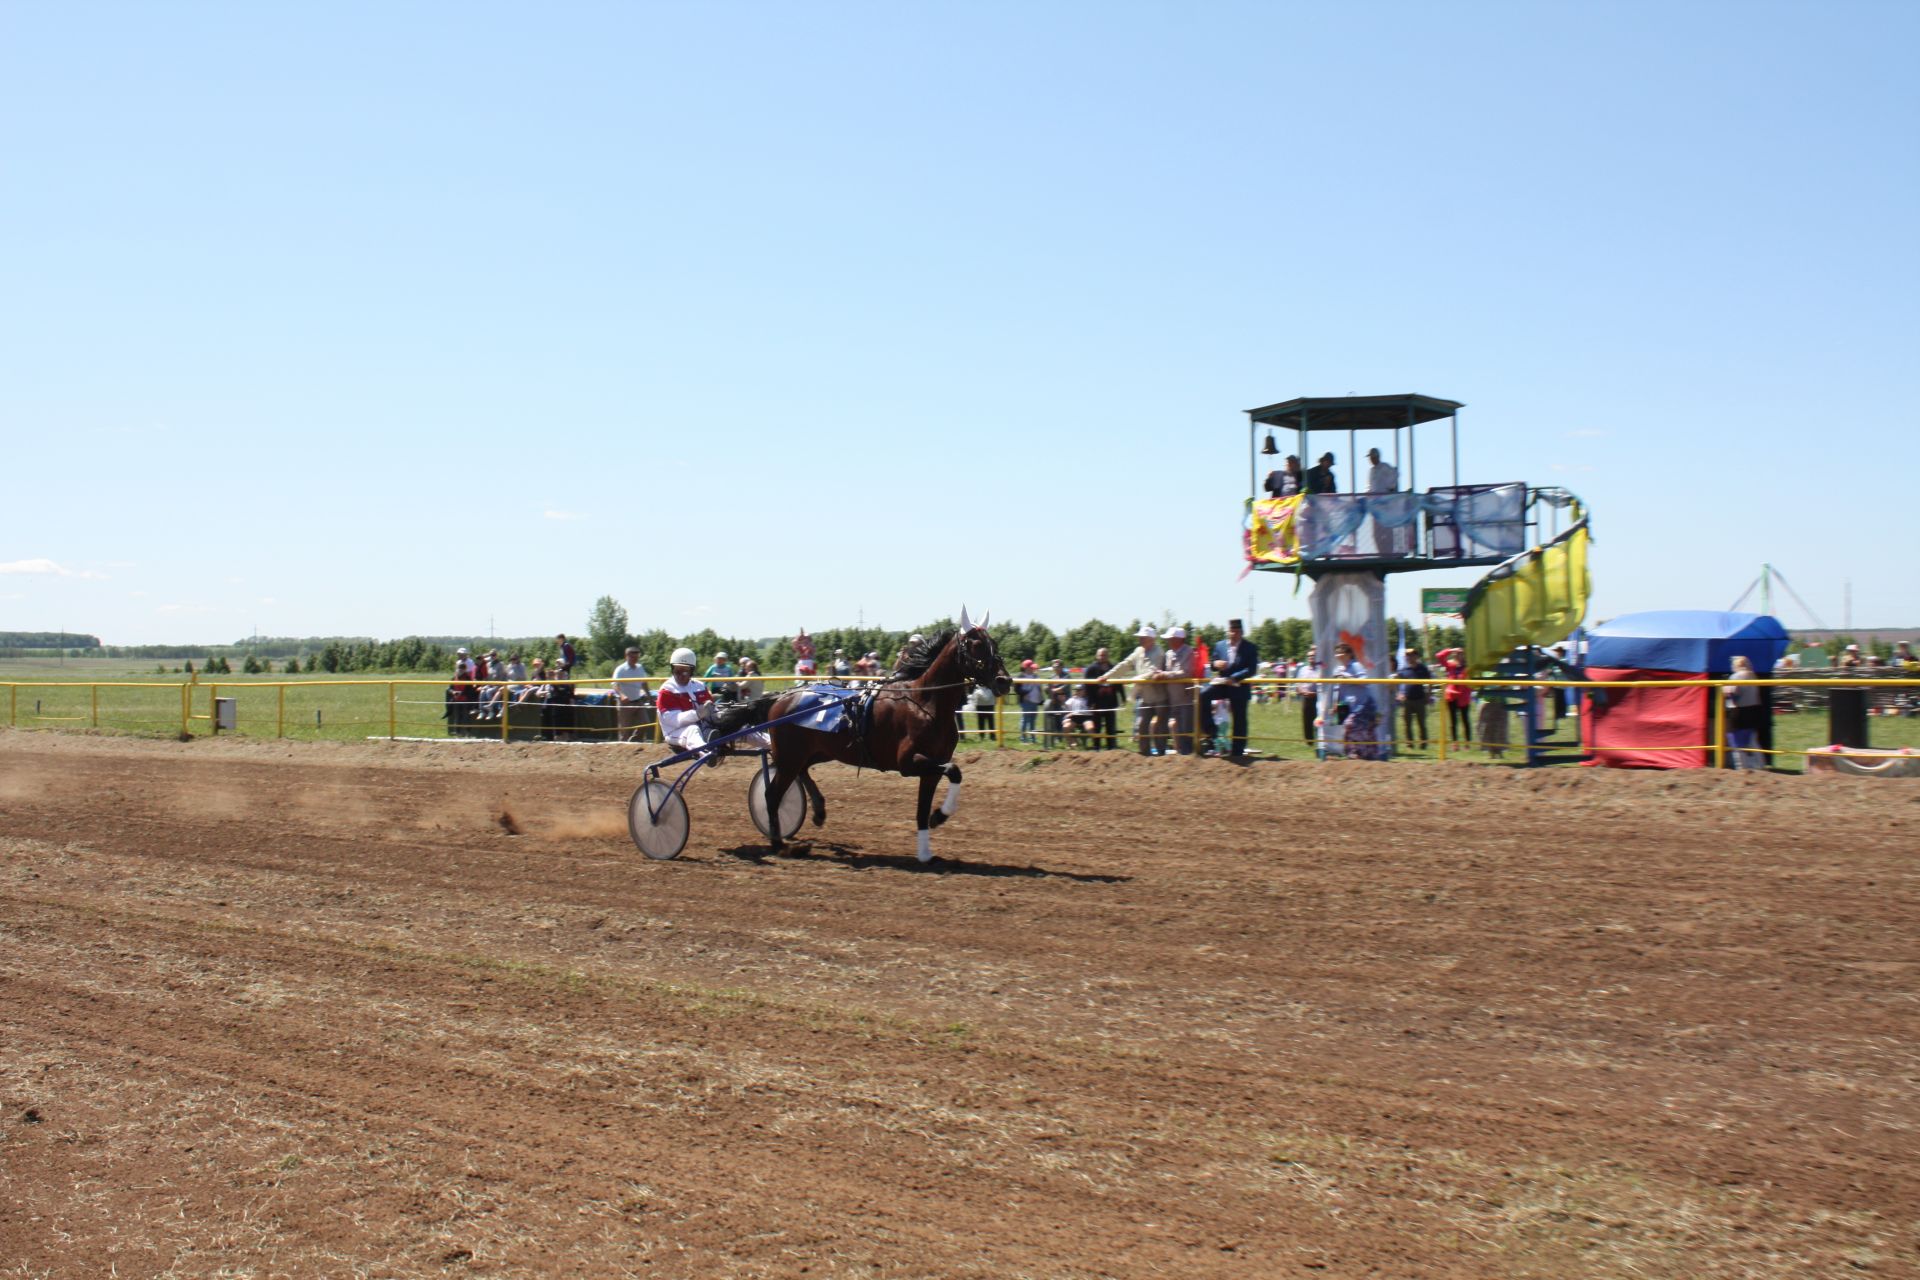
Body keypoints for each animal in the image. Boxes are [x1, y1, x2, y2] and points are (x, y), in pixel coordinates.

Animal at [725, 621, 1013, 859]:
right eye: (976, 646)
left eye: (994, 644)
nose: (1004, 680)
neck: (925, 702)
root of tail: (780, 698)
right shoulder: (909, 762)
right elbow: (954, 771)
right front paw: (939, 816)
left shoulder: (931, 766)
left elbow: (924, 807)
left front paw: (926, 849)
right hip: (790, 755)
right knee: (772, 795)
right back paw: (778, 843)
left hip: (816, 751)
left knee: (802, 772)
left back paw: (818, 810)